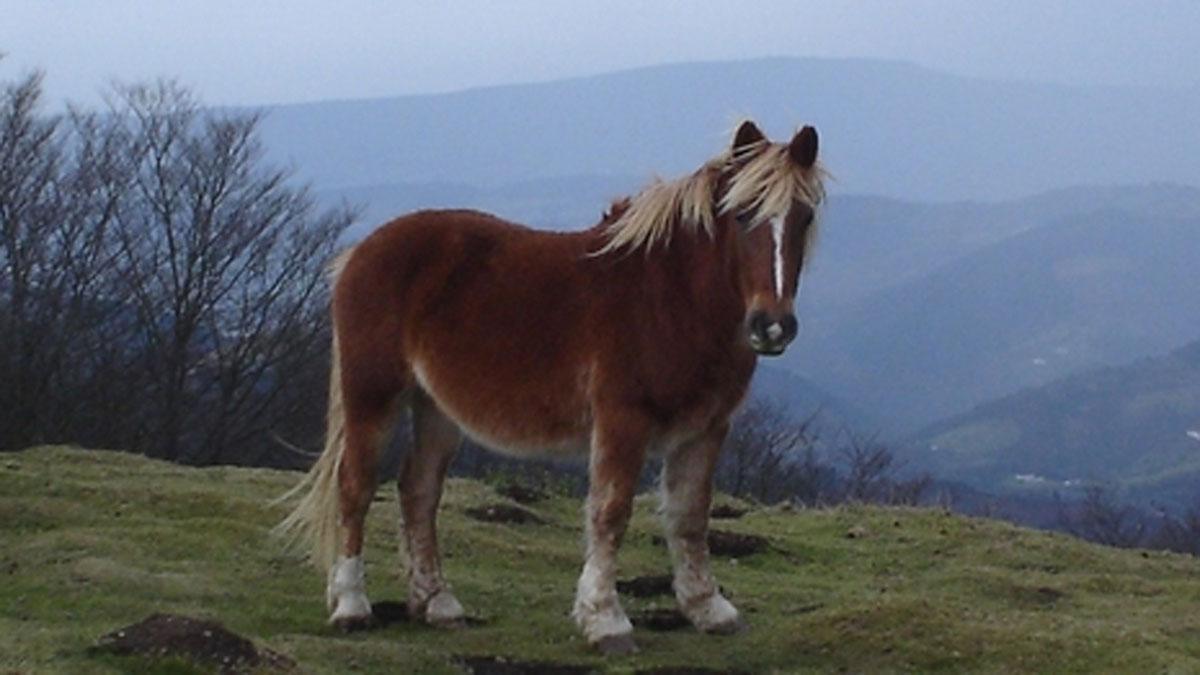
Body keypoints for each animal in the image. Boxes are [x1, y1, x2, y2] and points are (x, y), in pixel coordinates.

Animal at [277, 119, 825, 653]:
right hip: (372, 396)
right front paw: (606, 621)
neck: (670, 299)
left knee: (418, 490)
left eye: (805, 218)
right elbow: (610, 512)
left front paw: (708, 610)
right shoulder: (622, 421)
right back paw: (352, 607)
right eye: (743, 215)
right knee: (356, 485)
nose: (772, 327)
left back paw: (438, 604)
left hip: (436, 409)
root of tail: (359, 252)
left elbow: (690, 516)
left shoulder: (706, 428)